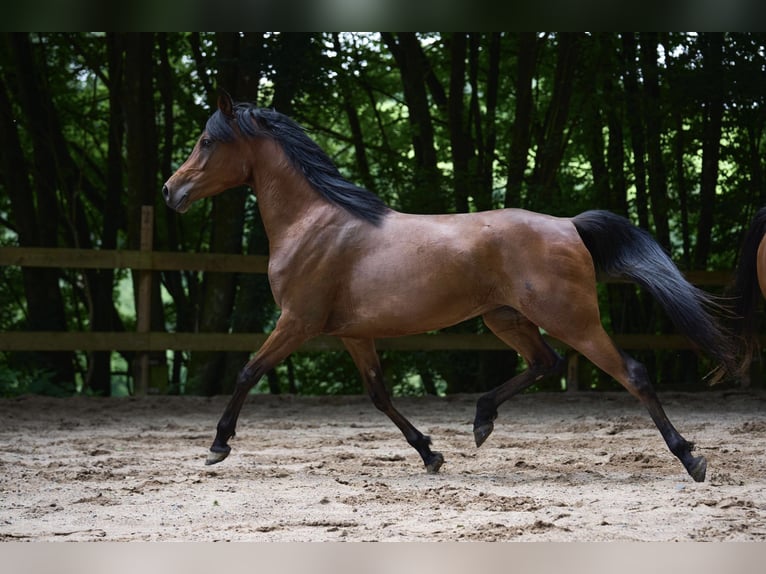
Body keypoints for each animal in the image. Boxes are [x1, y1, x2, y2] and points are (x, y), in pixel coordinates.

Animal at [164, 92, 736, 484]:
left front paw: (217, 445)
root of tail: (569, 225)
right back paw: (481, 421)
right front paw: (430, 453)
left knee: (630, 373)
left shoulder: (298, 322)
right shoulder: (352, 333)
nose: (171, 191)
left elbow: (247, 371)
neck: (314, 223)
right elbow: (379, 395)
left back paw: (691, 457)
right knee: (545, 362)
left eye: (207, 142)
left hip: (571, 318)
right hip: (505, 317)